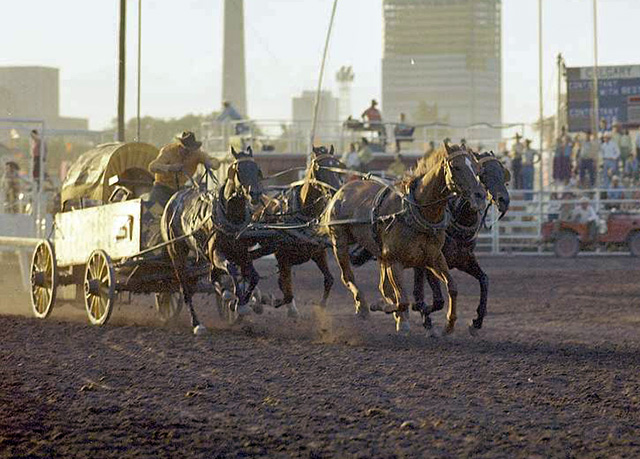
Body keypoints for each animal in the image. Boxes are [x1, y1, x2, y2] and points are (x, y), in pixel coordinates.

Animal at [164, 147, 266, 334]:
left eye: (257, 170)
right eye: (238, 170)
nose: (254, 194)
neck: (231, 216)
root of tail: (175, 196)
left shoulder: (241, 253)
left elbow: (254, 276)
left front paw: (241, 301)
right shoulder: (216, 252)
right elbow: (231, 269)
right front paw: (239, 302)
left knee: (213, 277)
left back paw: (226, 295)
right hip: (177, 252)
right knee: (186, 289)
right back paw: (197, 324)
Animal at [249, 146, 342, 318]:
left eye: (337, 165)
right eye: (319, 166)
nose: (335, 190)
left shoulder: (318, 253)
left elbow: (329, 279)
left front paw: (321, 307)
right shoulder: (282, 257)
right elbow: (287, 292)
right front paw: (267, 300)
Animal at [320, 143, 484, 334]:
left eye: (477, 168)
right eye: (456, 166)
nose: (480, 195)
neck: (415, 211)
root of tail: (342, 190)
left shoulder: (434, 258)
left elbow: (452, 287)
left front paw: (449, 324)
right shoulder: (395, 261)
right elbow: (403, 300)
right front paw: (384, 307)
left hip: (380, 255)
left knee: (384, 286)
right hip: (340, 241)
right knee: (347, 277)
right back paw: (363, 307)